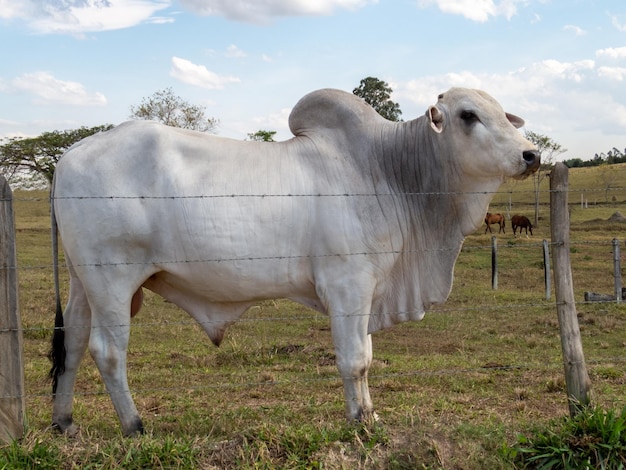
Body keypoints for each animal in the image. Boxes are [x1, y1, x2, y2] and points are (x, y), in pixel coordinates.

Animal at [48, 86, 536, 436]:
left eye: (503, 112)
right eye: (468, 115)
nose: (531, 154)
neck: (388, 170)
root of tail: (69, 154)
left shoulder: (368, 289)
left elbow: (367, 356)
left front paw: (370, 415)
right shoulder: (347, 284)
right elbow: (354, 359)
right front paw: (358, 424)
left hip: (82, 282)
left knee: (73, 341)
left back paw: (64, 422)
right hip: (112, 280)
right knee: (108, 351)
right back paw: (134, 426)